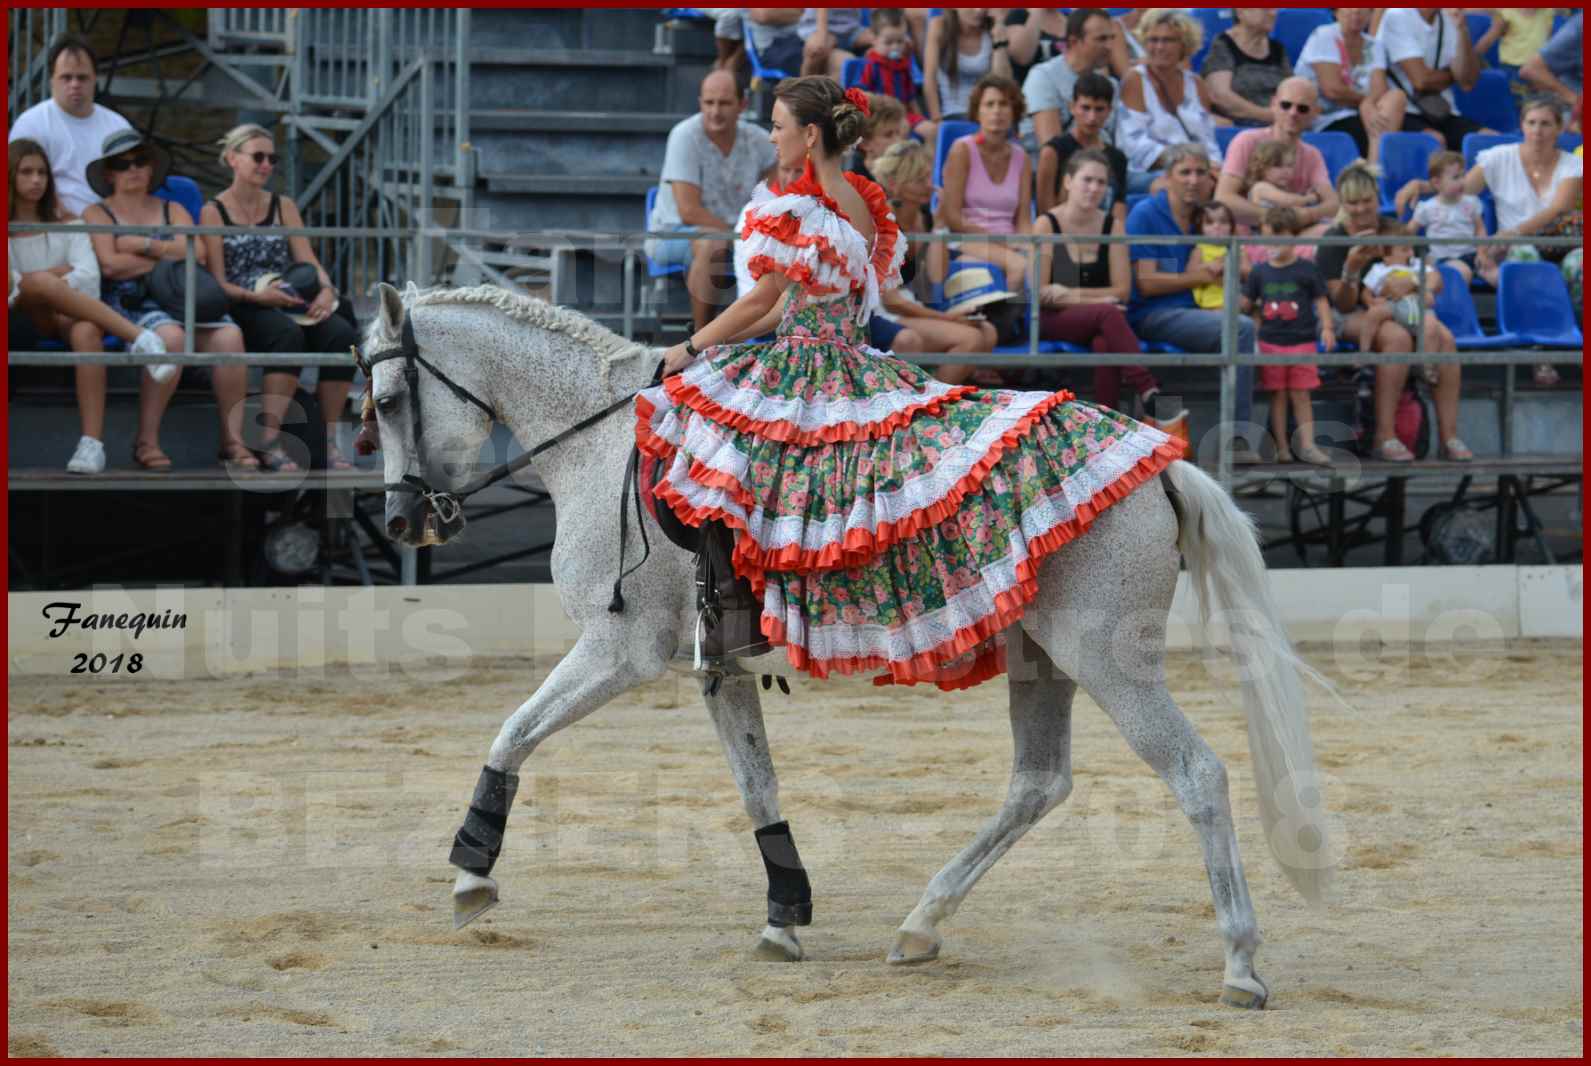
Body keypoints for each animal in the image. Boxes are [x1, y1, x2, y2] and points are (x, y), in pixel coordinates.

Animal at [365, 281, 1336, 1011]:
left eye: (385, 402)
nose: (402, 521)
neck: (600, 442)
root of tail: (1159, 463)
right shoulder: (717, 672)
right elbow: (757, 786)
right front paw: (783, 916)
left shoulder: (618, 651)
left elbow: (512, 733)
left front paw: (470, 877)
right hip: (1043, 658)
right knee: (1037, 782)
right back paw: (919, 926)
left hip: (1109, 660)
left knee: (1195, 774)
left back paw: (1241, 964)